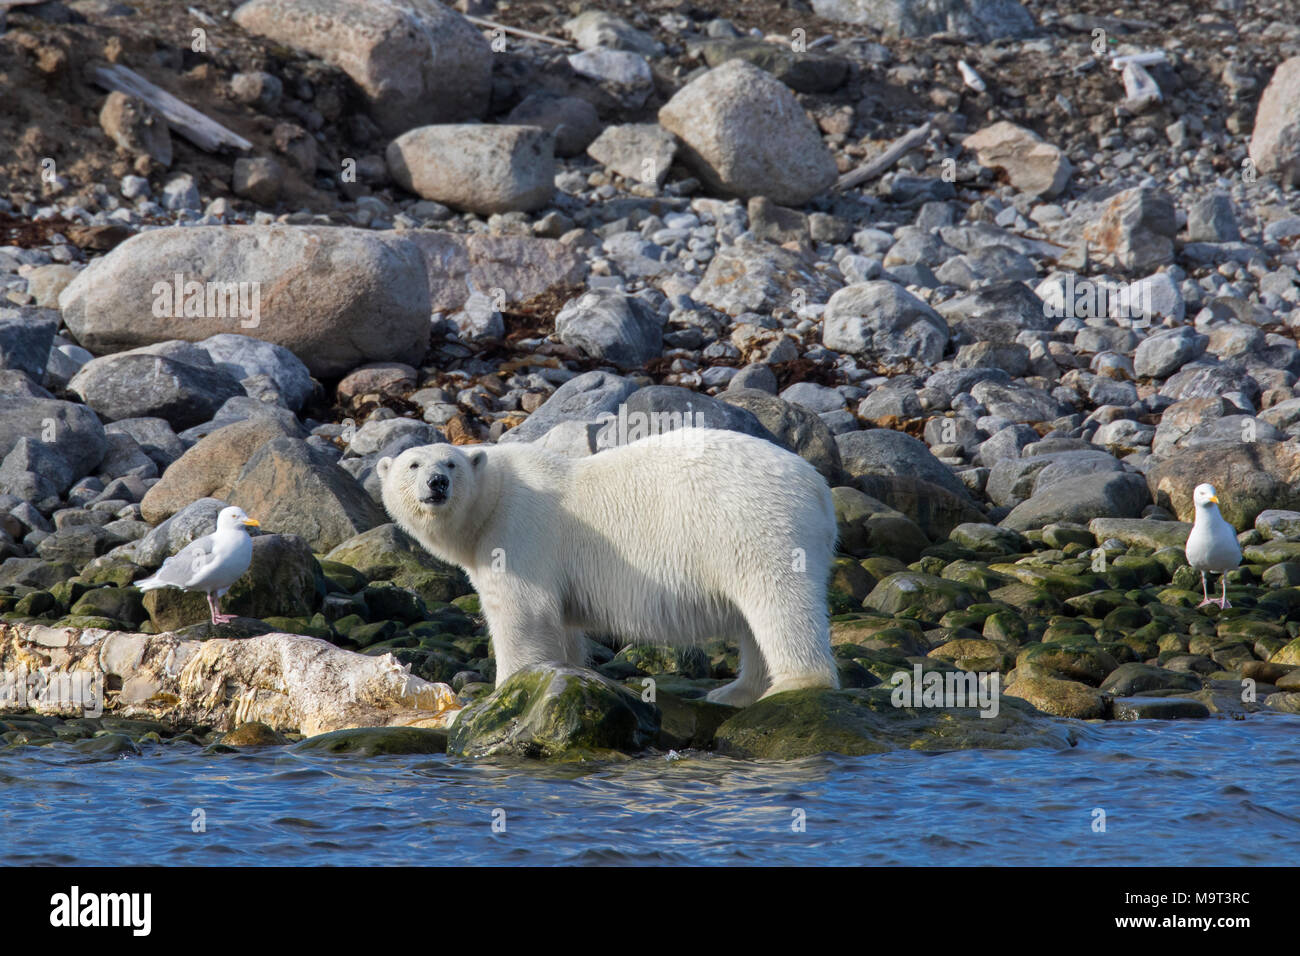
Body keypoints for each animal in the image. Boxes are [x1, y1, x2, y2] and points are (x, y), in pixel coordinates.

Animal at [376, 427, 840, 707]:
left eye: (450, 463)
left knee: (777, 600)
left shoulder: (519, 533)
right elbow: (560, 629)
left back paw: (794, 684)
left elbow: (522, 613)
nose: (437, 483)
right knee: (752, 619)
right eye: (413, 464)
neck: (494, 498)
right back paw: (734, 692)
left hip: (757, 523)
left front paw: (504, 689)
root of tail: (818, 486)